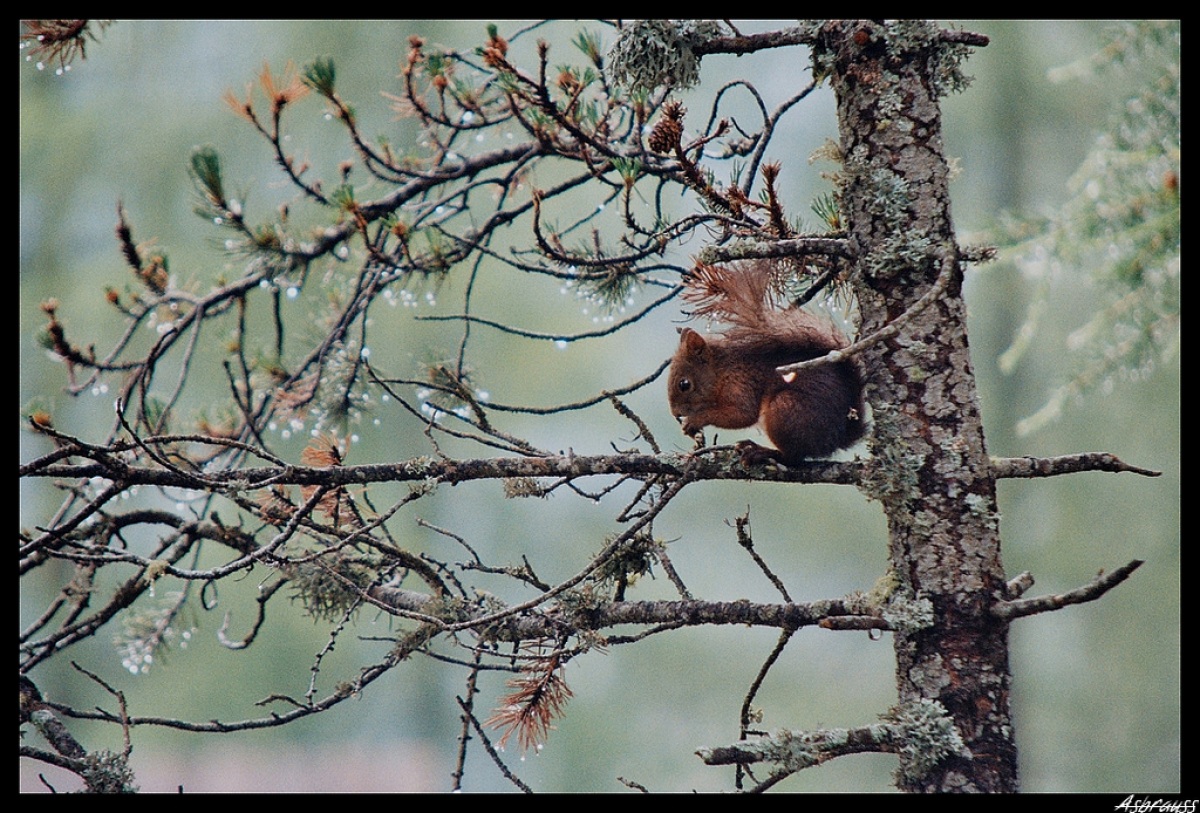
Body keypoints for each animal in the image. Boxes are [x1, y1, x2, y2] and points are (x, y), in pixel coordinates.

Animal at [667, 260, 866, 464]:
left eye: (684, 384)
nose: (675, 413)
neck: (722, 370)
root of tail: (841, 437)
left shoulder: (741, 384)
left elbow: (742, 415)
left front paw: (695, 420)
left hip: (786, 409)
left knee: (792, 457)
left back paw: (761, 451)